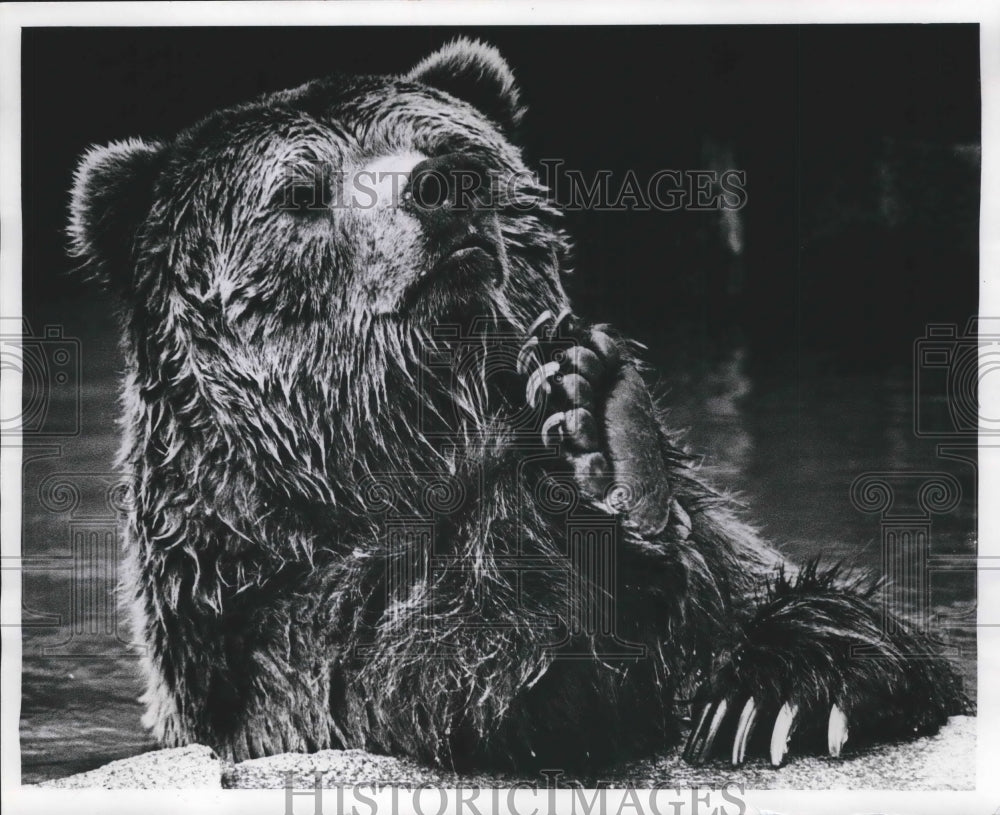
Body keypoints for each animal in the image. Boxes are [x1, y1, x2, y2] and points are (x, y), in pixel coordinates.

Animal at [67, 38, 966, 774]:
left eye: (450, 145)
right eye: (300, 192)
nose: (438, 186)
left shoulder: (719, 549)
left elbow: (805, 613)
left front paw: (778, 694)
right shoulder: (279, 637)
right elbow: (473, 671)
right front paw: (595, 454)